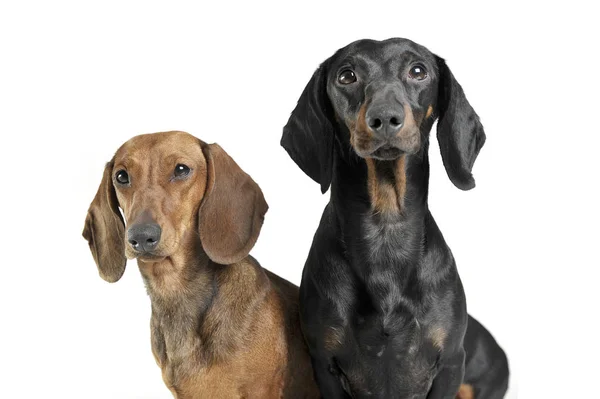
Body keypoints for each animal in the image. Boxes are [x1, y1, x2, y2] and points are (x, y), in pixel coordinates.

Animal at [280, 38, 506, 399]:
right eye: (347, 75)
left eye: (418, 70)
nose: (385, 117)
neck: (386, 230)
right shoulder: (325, 364)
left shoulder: (450, 363)